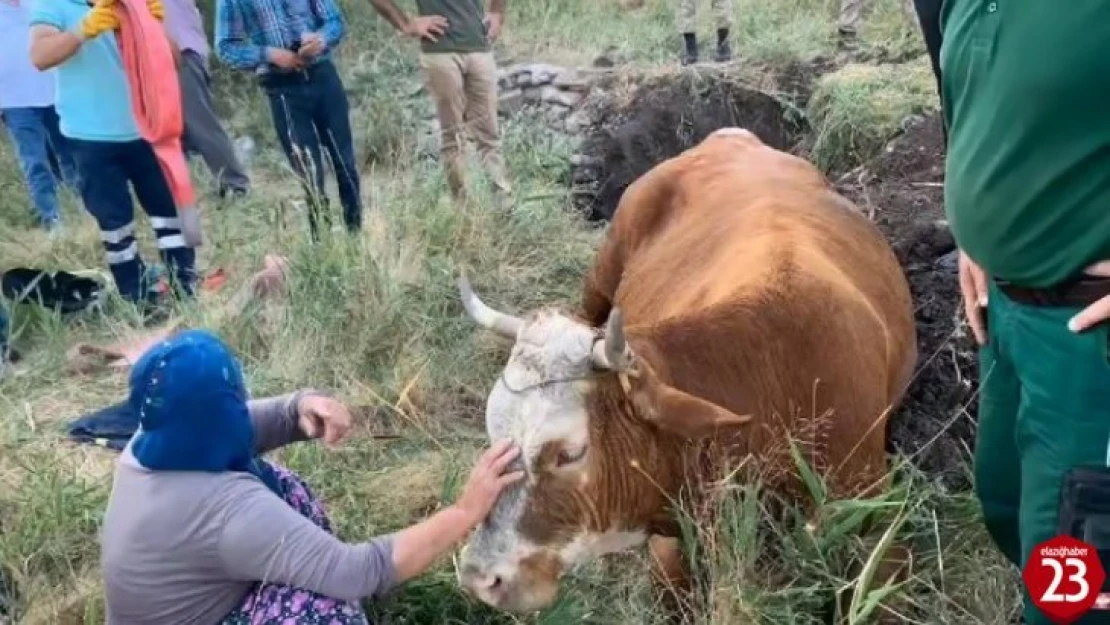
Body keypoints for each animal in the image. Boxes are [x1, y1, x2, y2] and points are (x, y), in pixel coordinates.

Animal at [455, 124, 914, 612]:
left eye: (569, 454)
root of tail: (731, 136)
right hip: (602, 272)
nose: (481, 577)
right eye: (493, 434)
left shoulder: (875, 515)